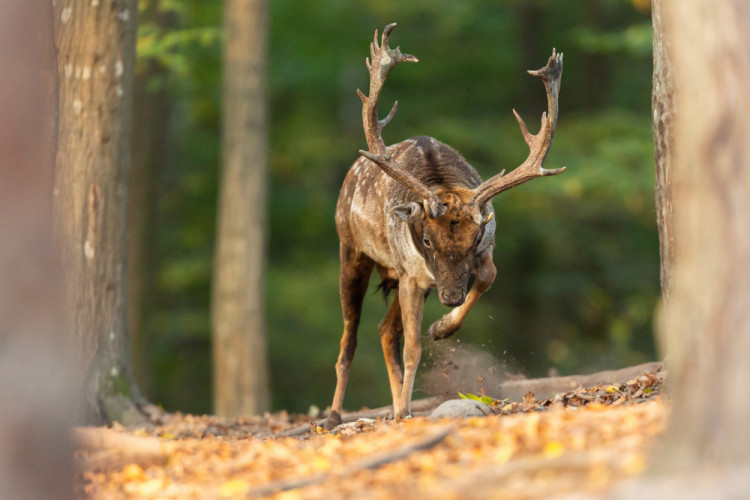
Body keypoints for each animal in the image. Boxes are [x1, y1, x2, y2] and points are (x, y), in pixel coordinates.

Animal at [326, 23, 568, 428]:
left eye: (474, 239)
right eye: (426, 238)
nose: (451, 296)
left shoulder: (477, 254)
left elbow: (487, 277)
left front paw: (441, 328)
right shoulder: (411, 273)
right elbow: (412, 347)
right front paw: (405, 409)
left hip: (404, 277)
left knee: (384, 330)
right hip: (352, 250)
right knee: (350, 337)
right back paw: (334, 413)